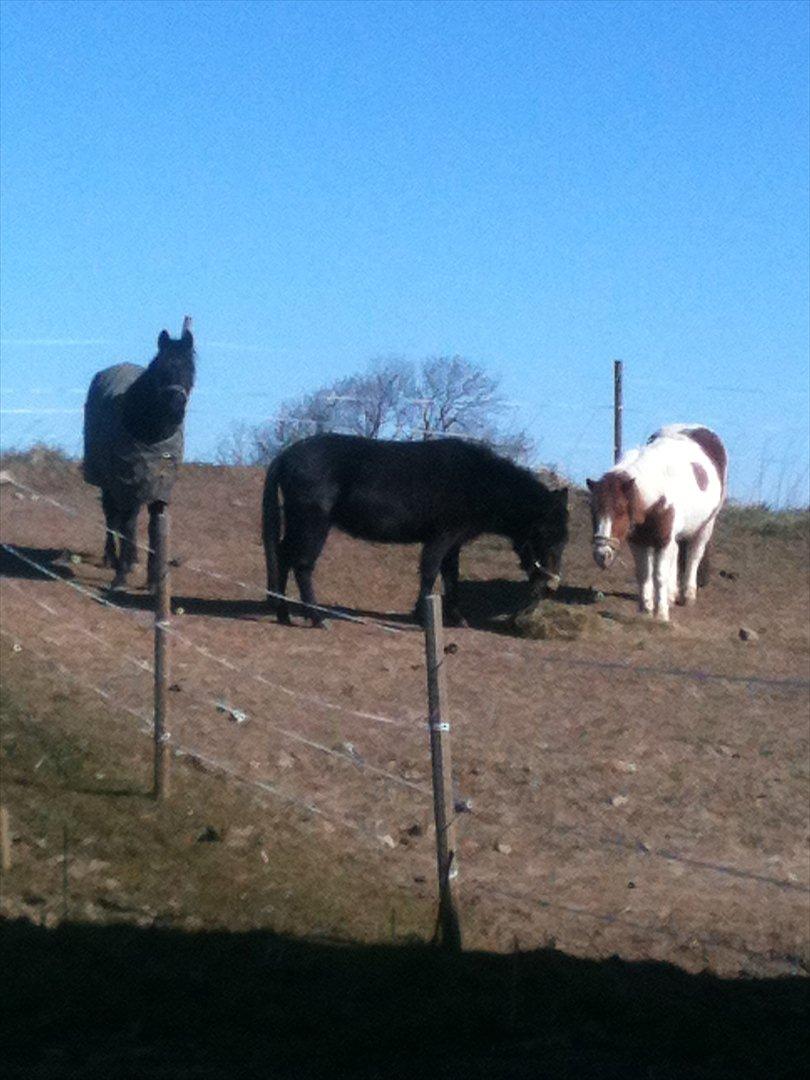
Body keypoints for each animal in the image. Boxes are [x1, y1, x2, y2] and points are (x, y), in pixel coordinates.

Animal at [83, 318, 196, 590]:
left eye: (191, 368)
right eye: (161, 369)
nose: (177, 410)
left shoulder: (160, 488)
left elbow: (155, 531)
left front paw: (154, 579)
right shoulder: (128, 485)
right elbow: (129, 526)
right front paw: (121, 576)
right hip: (109, 483)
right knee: (112, 518)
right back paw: (112, 558)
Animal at [262, 433, 569, 627]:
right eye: (545, 535)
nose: (550, 586)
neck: (477, 480)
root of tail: (285, 455)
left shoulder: (453, 544)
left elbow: (451, 577)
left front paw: (456, 618)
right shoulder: (441, 538)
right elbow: (430, 573)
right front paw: (422, 617)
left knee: (283, 556)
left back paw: (283, 614)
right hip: (312, 525)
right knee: (302, 565)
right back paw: (317, 618)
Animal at [586, 424, 727, 622]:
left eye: (620, 510)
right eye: (593, 510)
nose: (602, 555)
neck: (658, 491)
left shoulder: (663, 540)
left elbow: (659, 576)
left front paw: (661, 615)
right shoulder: (639, 542)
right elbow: (644, 574)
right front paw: (646, 609)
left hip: (705, 527)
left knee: (694, 556)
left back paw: (688, 596)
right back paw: (671, 595)